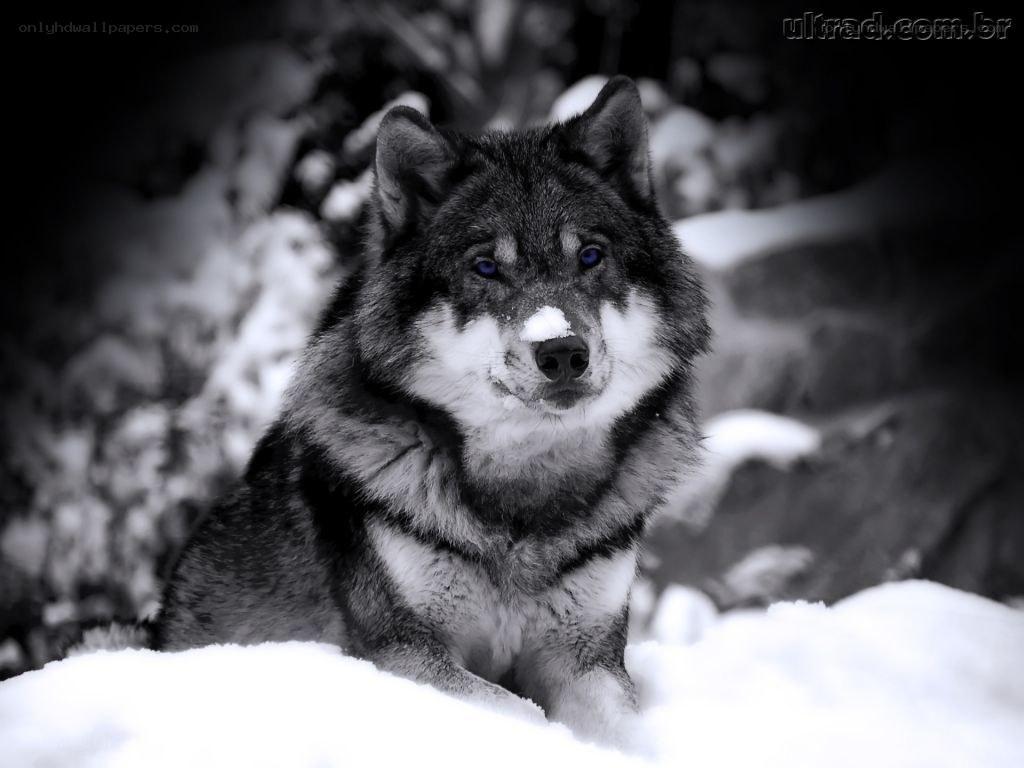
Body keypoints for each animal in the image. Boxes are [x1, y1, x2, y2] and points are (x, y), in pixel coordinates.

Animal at [154, 76, 710, 747]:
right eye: (486, 267)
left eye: (590, 257)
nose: (561, 351)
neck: (523, 501)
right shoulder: (403, 652)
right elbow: (517, 712)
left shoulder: (587, 658)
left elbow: (628, 731)